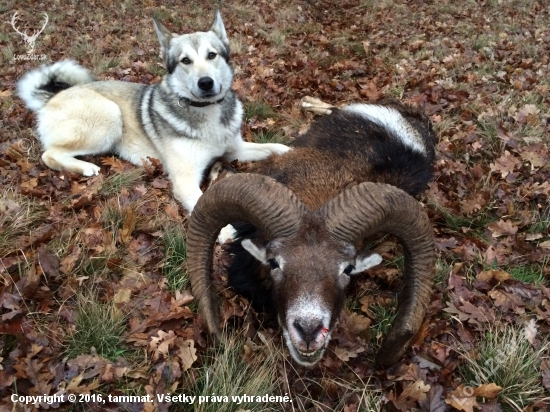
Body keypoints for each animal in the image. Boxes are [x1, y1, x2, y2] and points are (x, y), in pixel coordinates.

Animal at [17, 12, 292, 212]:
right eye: (185, 61)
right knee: (50, 155)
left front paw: (290, 151)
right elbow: (202, 205)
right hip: (110, 115)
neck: (205, 112)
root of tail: (51, 97)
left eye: (212, 55)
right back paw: (83, 167)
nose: (205, 83)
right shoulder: (185, 180)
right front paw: (227, 235)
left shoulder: (236, 149)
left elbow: (273, 147)